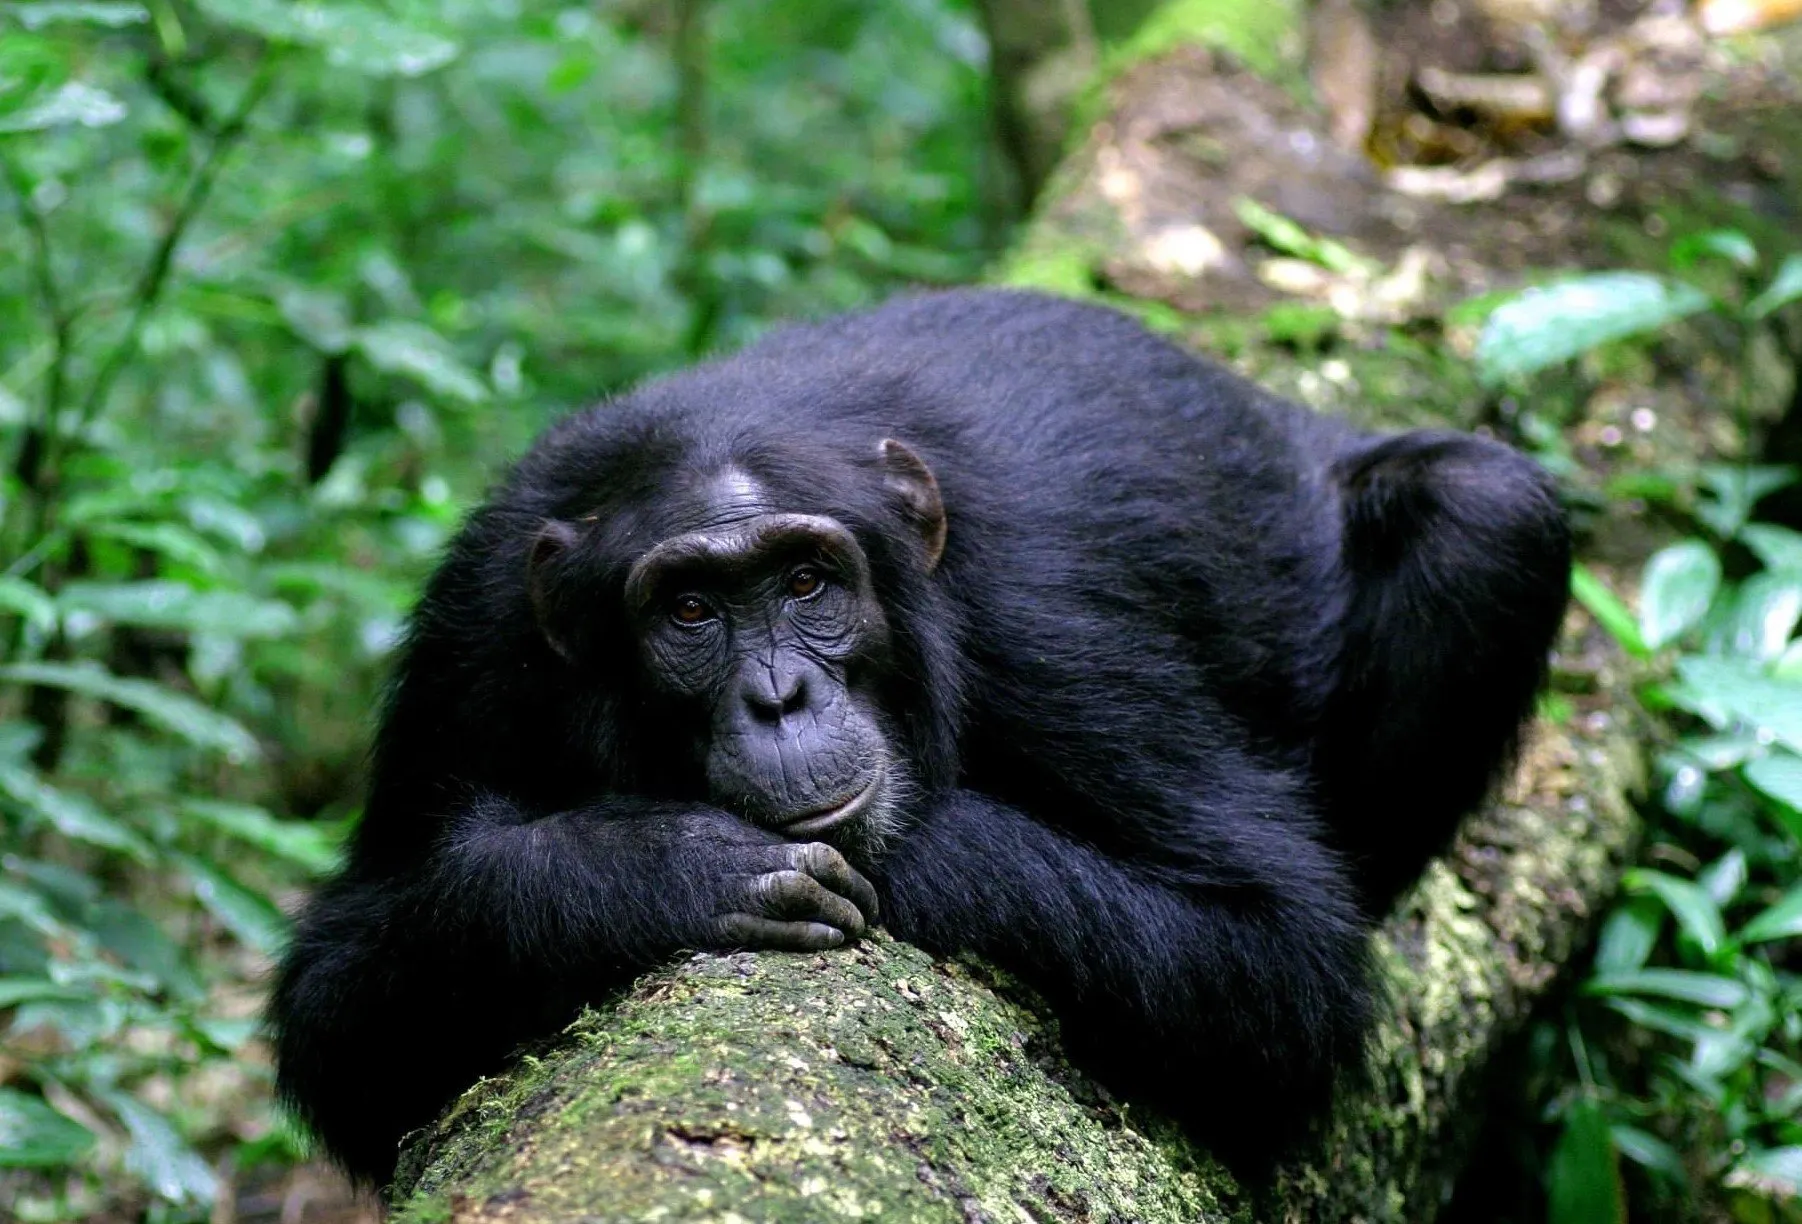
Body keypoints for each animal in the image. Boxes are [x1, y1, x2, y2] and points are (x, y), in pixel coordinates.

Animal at [270, 286, 1578, 1189]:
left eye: (806, 583)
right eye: (689, 610)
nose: (780, 697)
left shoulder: (1057, 623)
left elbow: (1276, 955)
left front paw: (916, 856)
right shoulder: (476, 628)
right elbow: (342, 1003)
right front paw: (653, 867)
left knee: (1483, 512)